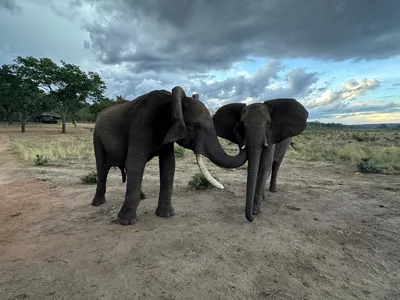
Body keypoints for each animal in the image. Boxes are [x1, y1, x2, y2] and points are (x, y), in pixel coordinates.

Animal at [91, 85, 247, 224]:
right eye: (197, 127)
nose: (238, 125)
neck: (170, 101)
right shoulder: (139, 127)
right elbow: (135, 164)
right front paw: (125, 222)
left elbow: (169, 165)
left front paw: (166, 215)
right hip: (96, 136)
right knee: (102, 168)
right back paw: (97, 203)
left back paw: (143, 197)